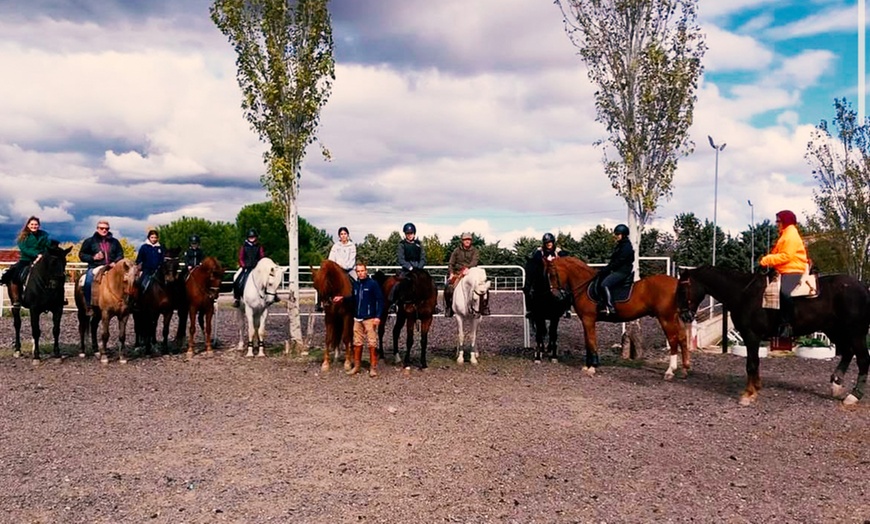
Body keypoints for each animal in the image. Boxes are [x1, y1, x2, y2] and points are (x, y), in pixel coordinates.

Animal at [544, 256, 696, 378]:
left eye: (552, 274)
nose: (555, 296)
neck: (585, 286)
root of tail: (676, 283)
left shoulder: (588, 320)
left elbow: (592, 342)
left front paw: (593, 367)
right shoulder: (585, 321)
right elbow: (588, 342)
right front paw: (587, 365)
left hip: (666, 318)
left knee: (673, 340)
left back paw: (670, 371)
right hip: (675, 318)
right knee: (682, 338)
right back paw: (684, 369)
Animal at [680, 266, 870, 406]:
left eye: (683, 288)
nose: (684, 316)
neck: (743, 293)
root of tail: (862, 287)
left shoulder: (751, 335)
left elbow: (751, 364)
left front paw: (748, 394)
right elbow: (754, 362)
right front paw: (756, 387)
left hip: (856, 332)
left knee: (862, 359)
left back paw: (854, 396)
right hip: (835, 330)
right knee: (847, 352)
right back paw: (836, 385)